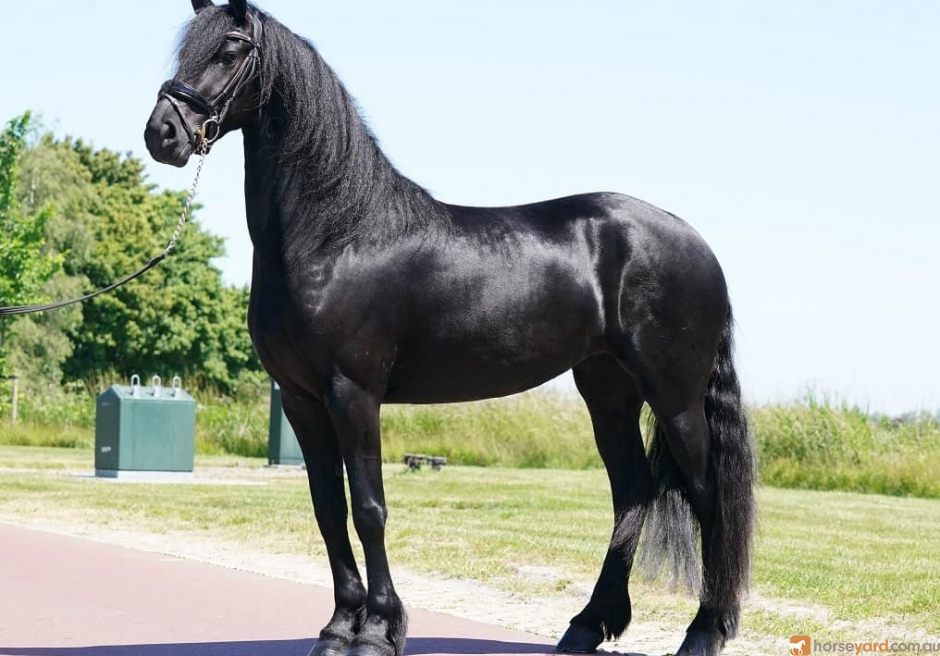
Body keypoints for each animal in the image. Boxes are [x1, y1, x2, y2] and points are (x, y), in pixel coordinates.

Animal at [144, 3, 756, 656]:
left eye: (231, 49)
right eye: (186, 49)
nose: (162, 134)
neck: (337, 237)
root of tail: (692, 239)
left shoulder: (353, 394)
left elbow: (370, 508)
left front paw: (378, 630)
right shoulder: (301, 399)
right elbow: (328, 509)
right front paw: (337, 628)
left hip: (676, 396)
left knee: (709, 499)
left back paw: (703, 632)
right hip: (608, 390)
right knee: (633, 492)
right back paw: (588, 625)